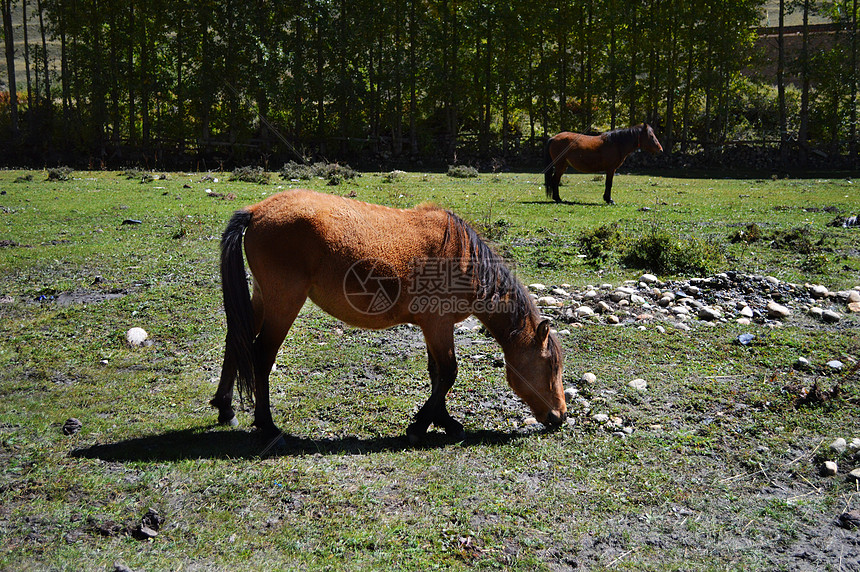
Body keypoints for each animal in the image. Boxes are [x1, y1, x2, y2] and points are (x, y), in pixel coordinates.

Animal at [212, 190, 568, 444]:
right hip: (284, 302)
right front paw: (421, 426)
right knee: (260, 355)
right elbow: (448, 373)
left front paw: (443, 422)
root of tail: (256, 211)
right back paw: (268, 427)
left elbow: (437, 375)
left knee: (237, 341)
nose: (561, 416)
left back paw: (226, 409)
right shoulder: (438, 325)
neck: (466, 263)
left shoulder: (431, 327)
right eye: (551, 365)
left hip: (263, 297)